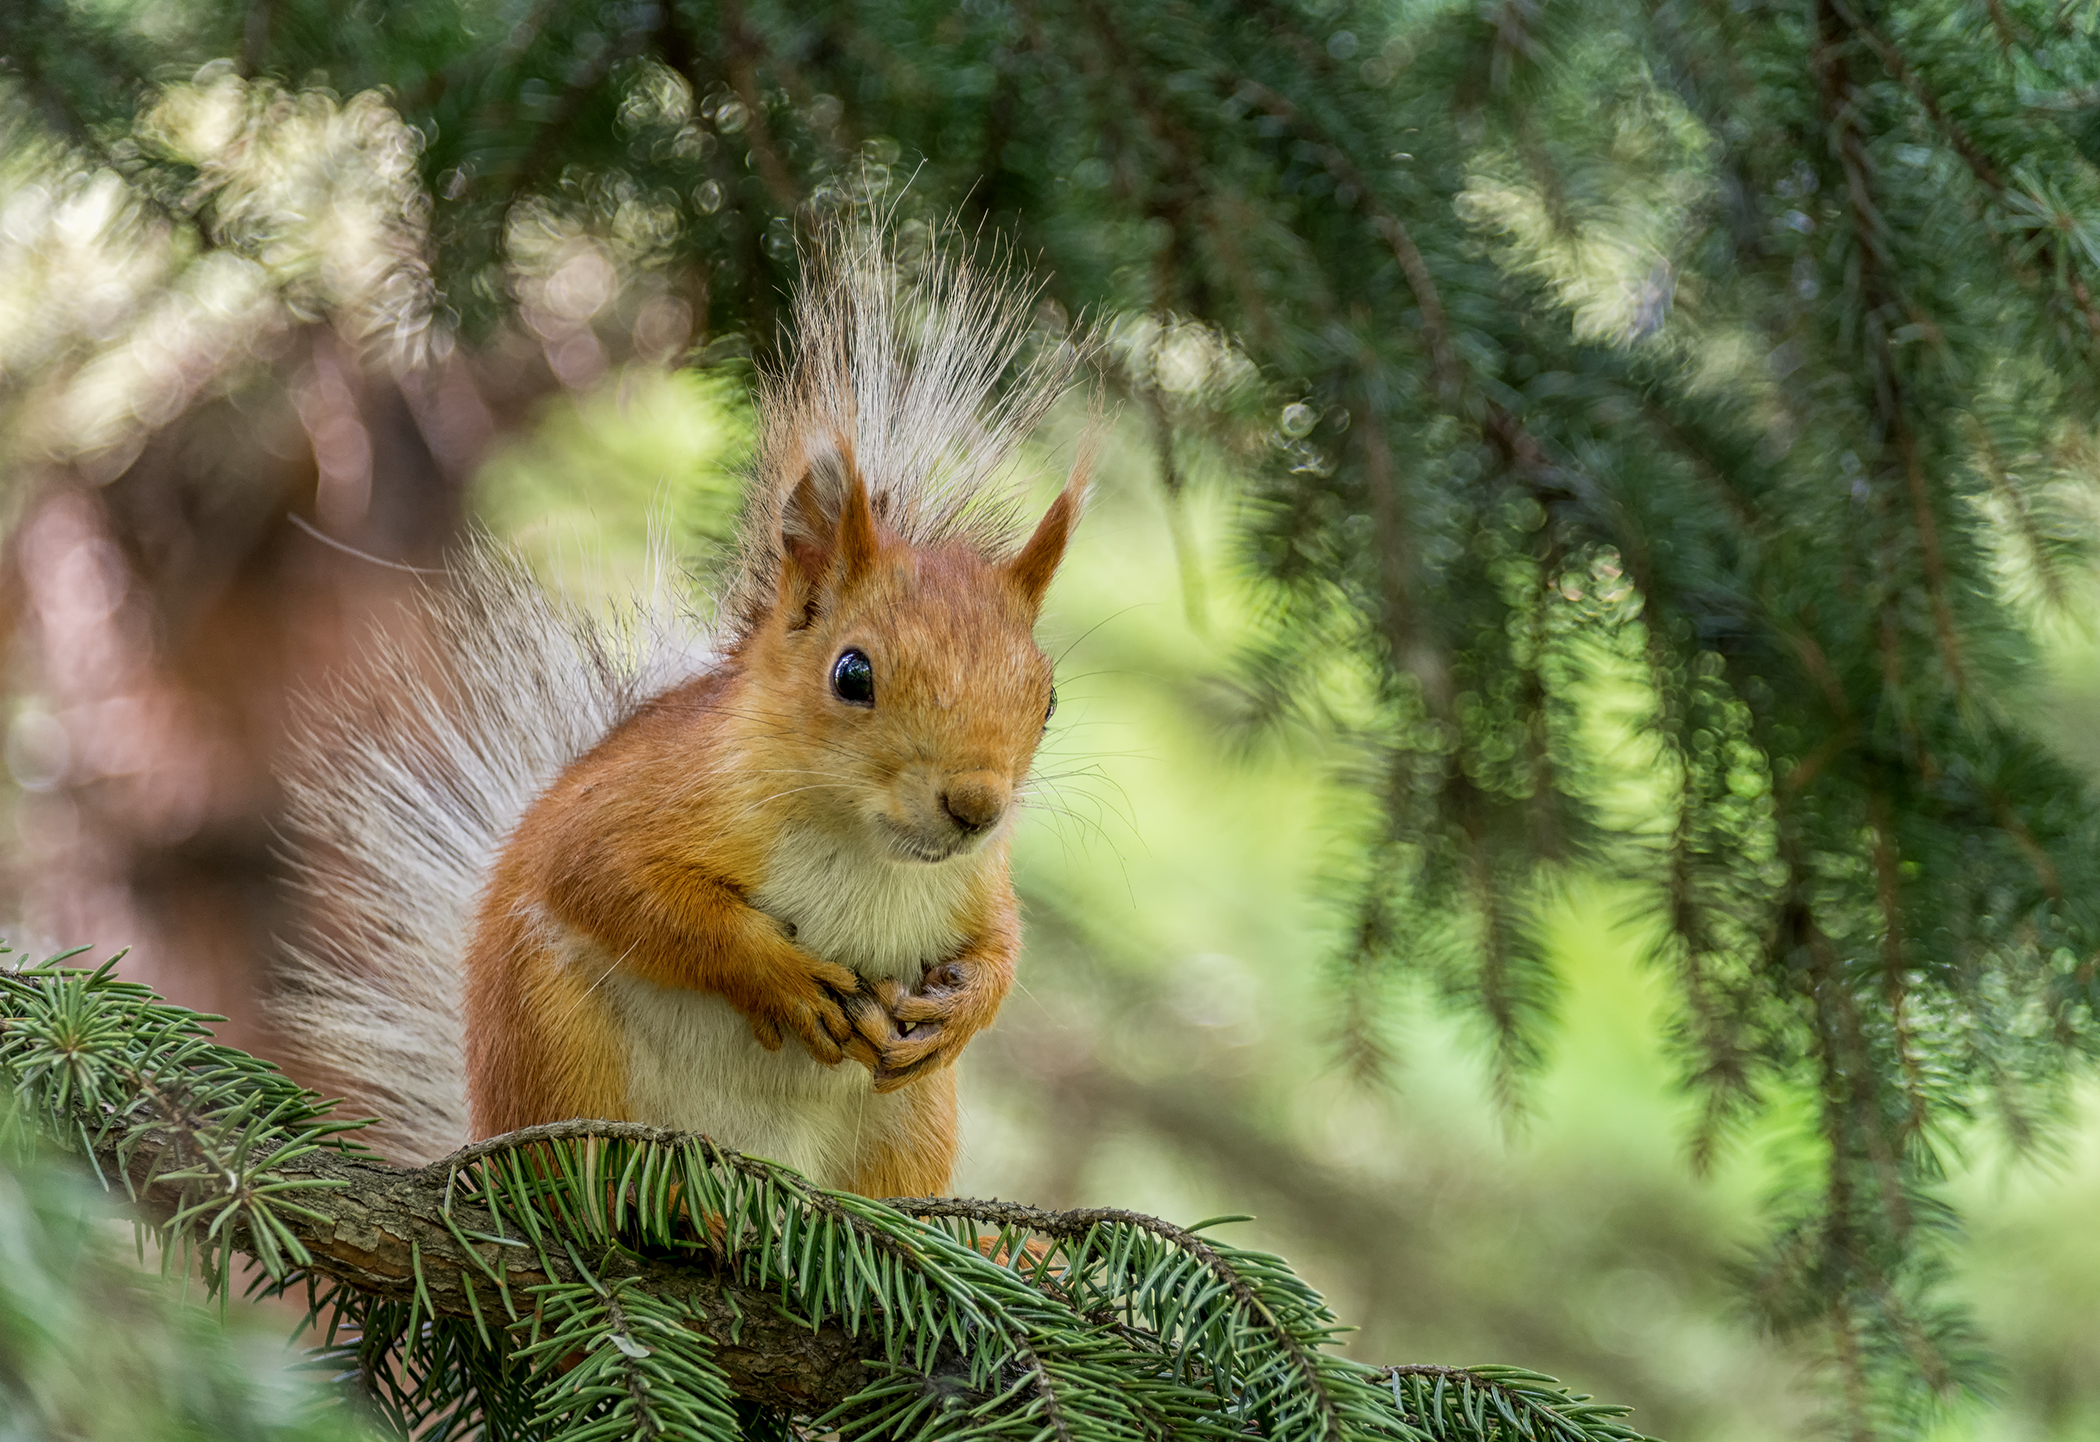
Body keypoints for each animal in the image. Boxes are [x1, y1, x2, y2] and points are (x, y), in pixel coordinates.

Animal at [275, 228, 1083, 1192]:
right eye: (852, 674)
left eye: (1048, 699)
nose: (975, 807)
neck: (862, 846)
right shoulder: (651, 801)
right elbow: (612, 883)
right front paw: (777, 975)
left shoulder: (977, 883)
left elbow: (1002, 949)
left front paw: (959, 1010)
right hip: (562, 1045)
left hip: (909, 1127)